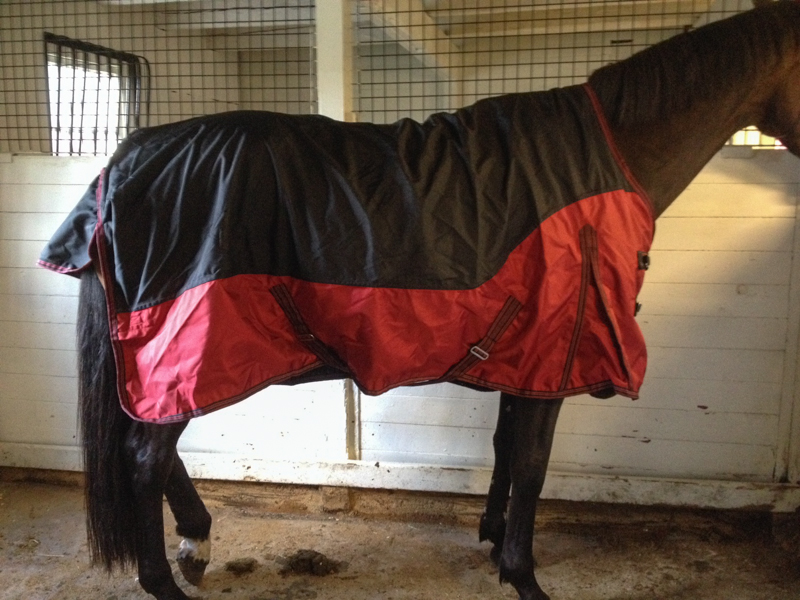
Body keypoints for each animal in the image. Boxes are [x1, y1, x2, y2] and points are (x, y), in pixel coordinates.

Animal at [38, 2, 800, 599]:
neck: (604, 162)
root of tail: (125, 161)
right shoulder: (553, 359)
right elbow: (532, 464)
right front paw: (524, 575)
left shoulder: (522, 360)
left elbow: (504, 449)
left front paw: (494, 539)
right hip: (182, 356)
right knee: (143, 456)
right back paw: (165, 578)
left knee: (151, 450)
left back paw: (196, 543)